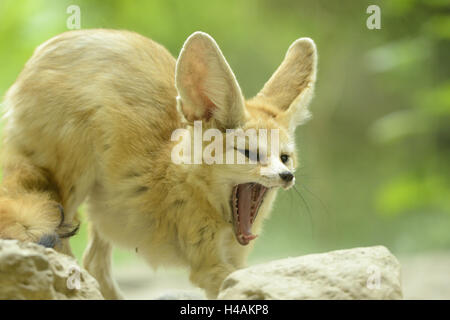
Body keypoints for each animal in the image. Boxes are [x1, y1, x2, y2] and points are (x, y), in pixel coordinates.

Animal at [0, 28, 316, 298]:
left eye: (284, 157)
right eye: (249, 153)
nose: (287, 176)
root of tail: (36, 57)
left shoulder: (235, 260)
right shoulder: (208, 266)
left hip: (104, 208)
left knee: (94, 263)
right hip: (73, 185)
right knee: (67, 251)